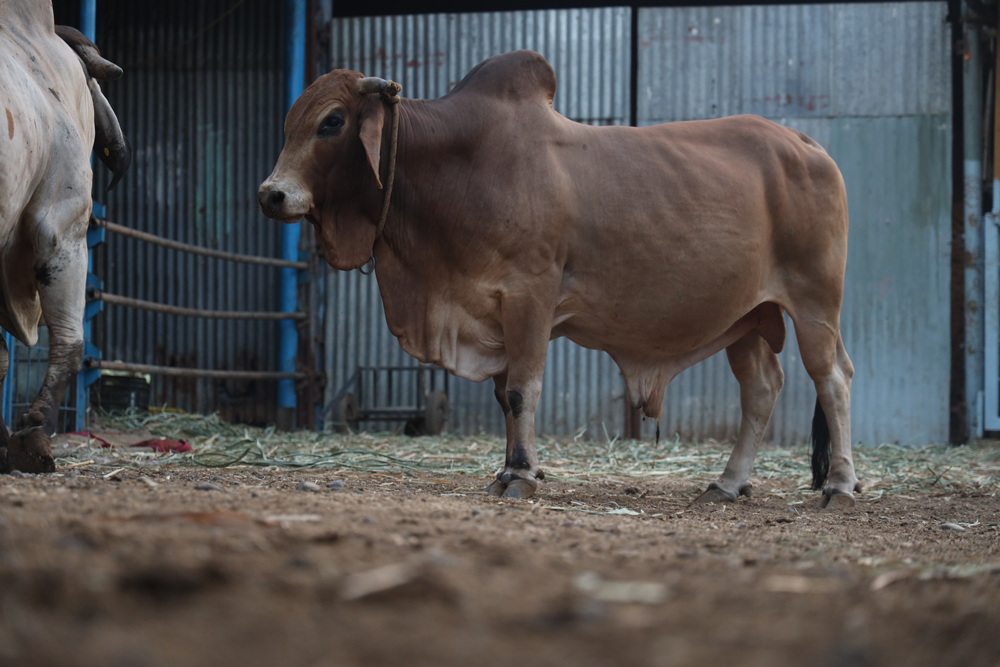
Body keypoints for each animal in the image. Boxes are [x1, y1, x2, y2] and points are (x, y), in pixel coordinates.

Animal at [259, 50, 860, 509]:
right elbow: (504, 396)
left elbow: (522, 391)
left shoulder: (530, 295)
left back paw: (839, 486)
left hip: (815, 303)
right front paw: (512, 468)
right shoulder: (498, 312)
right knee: (761, 389)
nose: (271, 194)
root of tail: (807, 144)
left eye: (332, 121)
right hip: (748, 317)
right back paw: (728, 484)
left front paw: (520, 476)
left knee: (832, 380)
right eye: (289, 122)